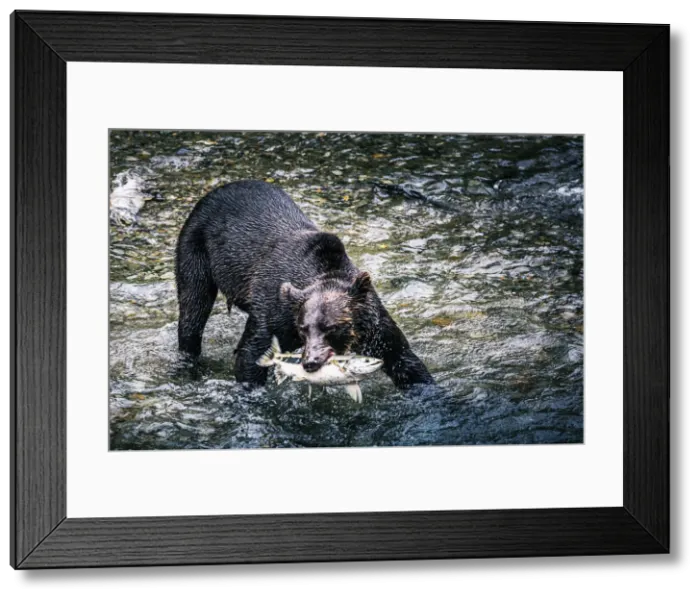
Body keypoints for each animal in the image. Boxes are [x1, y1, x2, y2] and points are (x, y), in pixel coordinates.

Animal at [175, 180, 435, 391]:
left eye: (332, 327)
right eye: (303, 328)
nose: (310, 361)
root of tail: (218, 189)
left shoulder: (374, 327)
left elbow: (403, 360)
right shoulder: (276, 311)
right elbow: (251, 354)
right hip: (196, 247)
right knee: (193, 307)